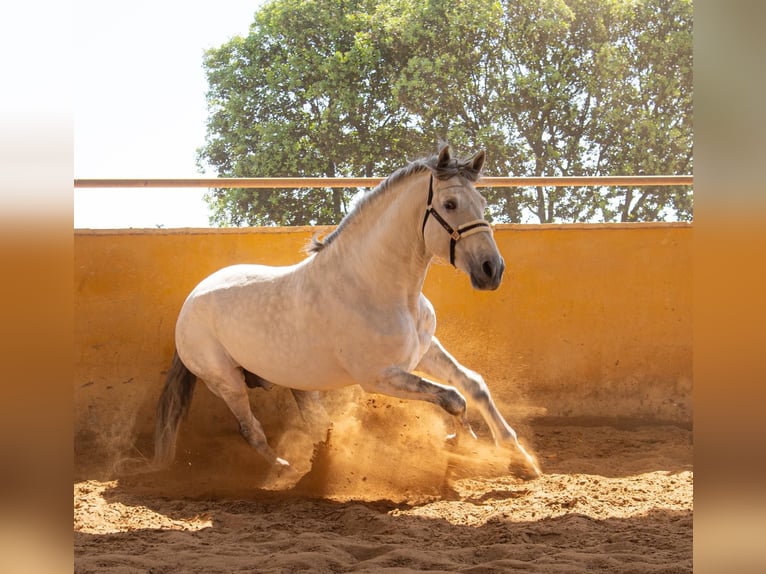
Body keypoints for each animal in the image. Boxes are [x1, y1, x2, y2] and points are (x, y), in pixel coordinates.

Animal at [154, 145, 540, 482]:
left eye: (482, 202)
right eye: (450, 203)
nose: (492, 269)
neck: (378, 287)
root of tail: (189, 303)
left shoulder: (424, 351)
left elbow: (473, 386)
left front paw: (520, 459)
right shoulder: (379, 376)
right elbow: (452, 398)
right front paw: (462, 444)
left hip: (296, 381)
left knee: (316, 423)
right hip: (226, 381)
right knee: (251, 429)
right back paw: (287, 471)